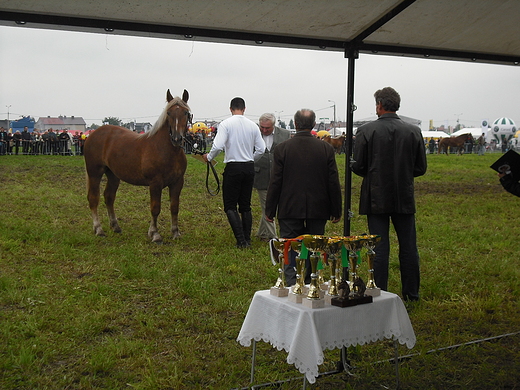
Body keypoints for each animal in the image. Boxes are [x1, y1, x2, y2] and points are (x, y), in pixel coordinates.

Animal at [84, 90, 192, 242]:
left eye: (186, 113)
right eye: (169, 113)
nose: (176, 139)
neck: (167, 150)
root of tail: (93, 134)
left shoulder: (177, 182)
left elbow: (174, 207)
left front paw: (175, 232)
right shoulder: (155, 183)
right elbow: (155, 208)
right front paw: (155, 234)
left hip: (113, 175)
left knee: (109, 197)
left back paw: (115, 226)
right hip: (95, 173)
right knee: (94, 199)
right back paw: (98, 229)